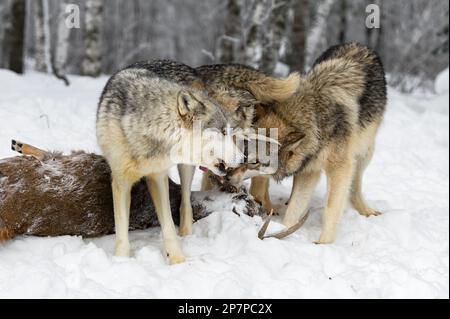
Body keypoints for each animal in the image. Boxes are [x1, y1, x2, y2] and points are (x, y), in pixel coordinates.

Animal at [96, 60, 241, 264]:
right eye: (222, 132)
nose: (243, 158)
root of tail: (190, 68)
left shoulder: (158, 178)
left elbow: (169, 226)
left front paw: (178, 260)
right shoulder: (121, 181)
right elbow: (122, 230)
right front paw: (121, 260)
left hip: (186, 167)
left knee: (185, 201)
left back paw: (187, 234)